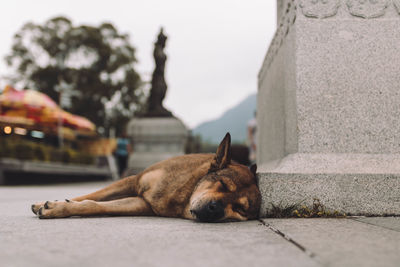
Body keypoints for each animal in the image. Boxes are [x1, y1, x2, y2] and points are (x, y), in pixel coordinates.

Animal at [32, 133, 262, 223]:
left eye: (240, 210)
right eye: (222, 184)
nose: (215, 209)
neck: (183, 193)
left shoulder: (142, 203)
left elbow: (95, 205)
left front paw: (60, 207)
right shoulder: (133, 180)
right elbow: (91, 196)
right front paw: (50, 204)